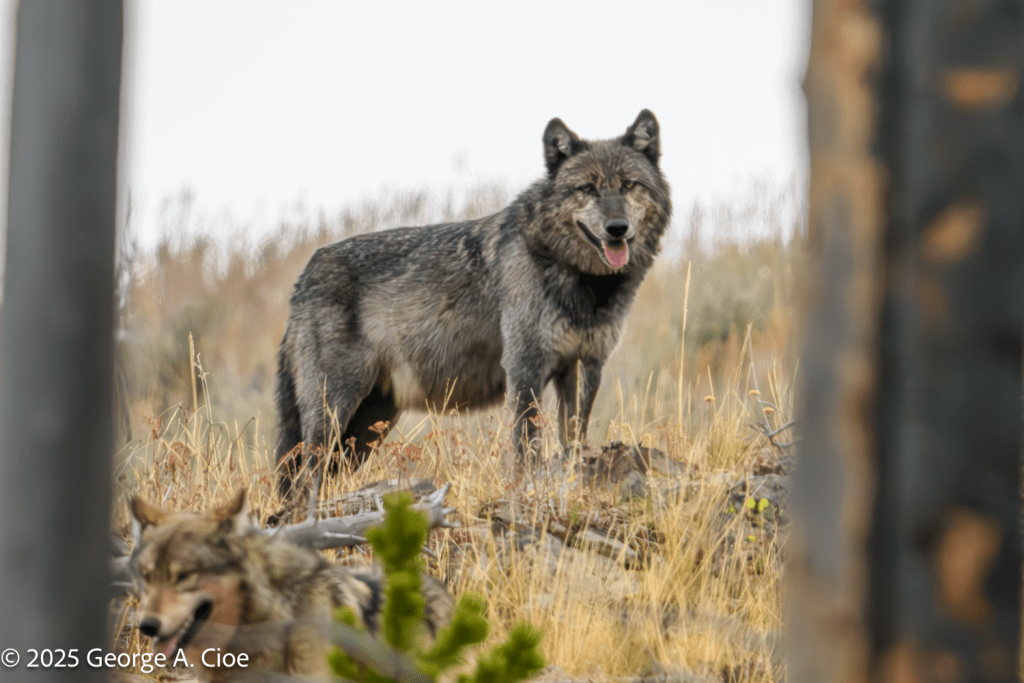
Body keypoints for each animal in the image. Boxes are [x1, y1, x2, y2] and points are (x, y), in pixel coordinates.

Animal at [275, 110, 672, 497]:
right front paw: (527, 489)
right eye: (586, 189)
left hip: (367, 426)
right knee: (304, 481)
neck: (580, 282)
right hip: (334, 413)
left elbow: (572, 442)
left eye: (629, 185)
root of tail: (303, 277)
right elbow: (527, 447)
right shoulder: (525, 366)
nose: (617, 227)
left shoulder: (584, 365)